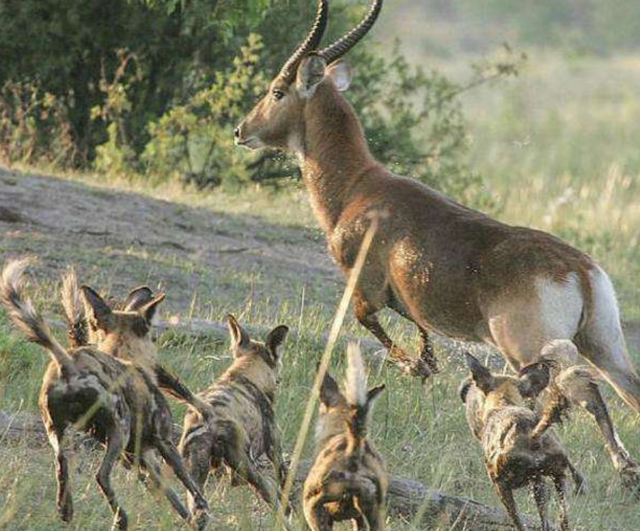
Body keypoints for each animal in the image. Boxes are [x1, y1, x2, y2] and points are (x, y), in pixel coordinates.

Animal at [0, 260, 210, 528]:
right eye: (153, 337)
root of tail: (68, 362)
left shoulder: (140, 457)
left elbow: (172, 497)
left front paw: (191, 520)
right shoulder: (164, 443)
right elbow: (193, 488)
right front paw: (201, 516)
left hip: (56, 429)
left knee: (61, 464)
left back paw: (65, 510)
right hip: (119, 429)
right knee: (101, 476)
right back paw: (120, 518)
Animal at [180, 316, 290, 520]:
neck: (245, 374)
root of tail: (207, 411)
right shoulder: (275, 451)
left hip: (196, 482)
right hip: (251, 470)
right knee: (276, 501)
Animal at [235, 0, 640, 492]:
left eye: (277, 90)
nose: (241, 130)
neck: (359, 187)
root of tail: (579, 268)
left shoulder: (364, 285)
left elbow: (369, 320)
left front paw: (417, 368)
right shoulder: (410, 298)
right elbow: (420, 326)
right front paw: (425, 364)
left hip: (533, 349)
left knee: (584, 391)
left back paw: (620, 469)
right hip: (603, 345)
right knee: (627, 391)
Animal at [460, 354, 592, 531]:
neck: (504, 402)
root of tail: (532, 434)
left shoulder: (502, 485)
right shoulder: (539, 483)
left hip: (504, 486)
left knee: (520, 523)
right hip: (557, 478)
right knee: (562, 520)